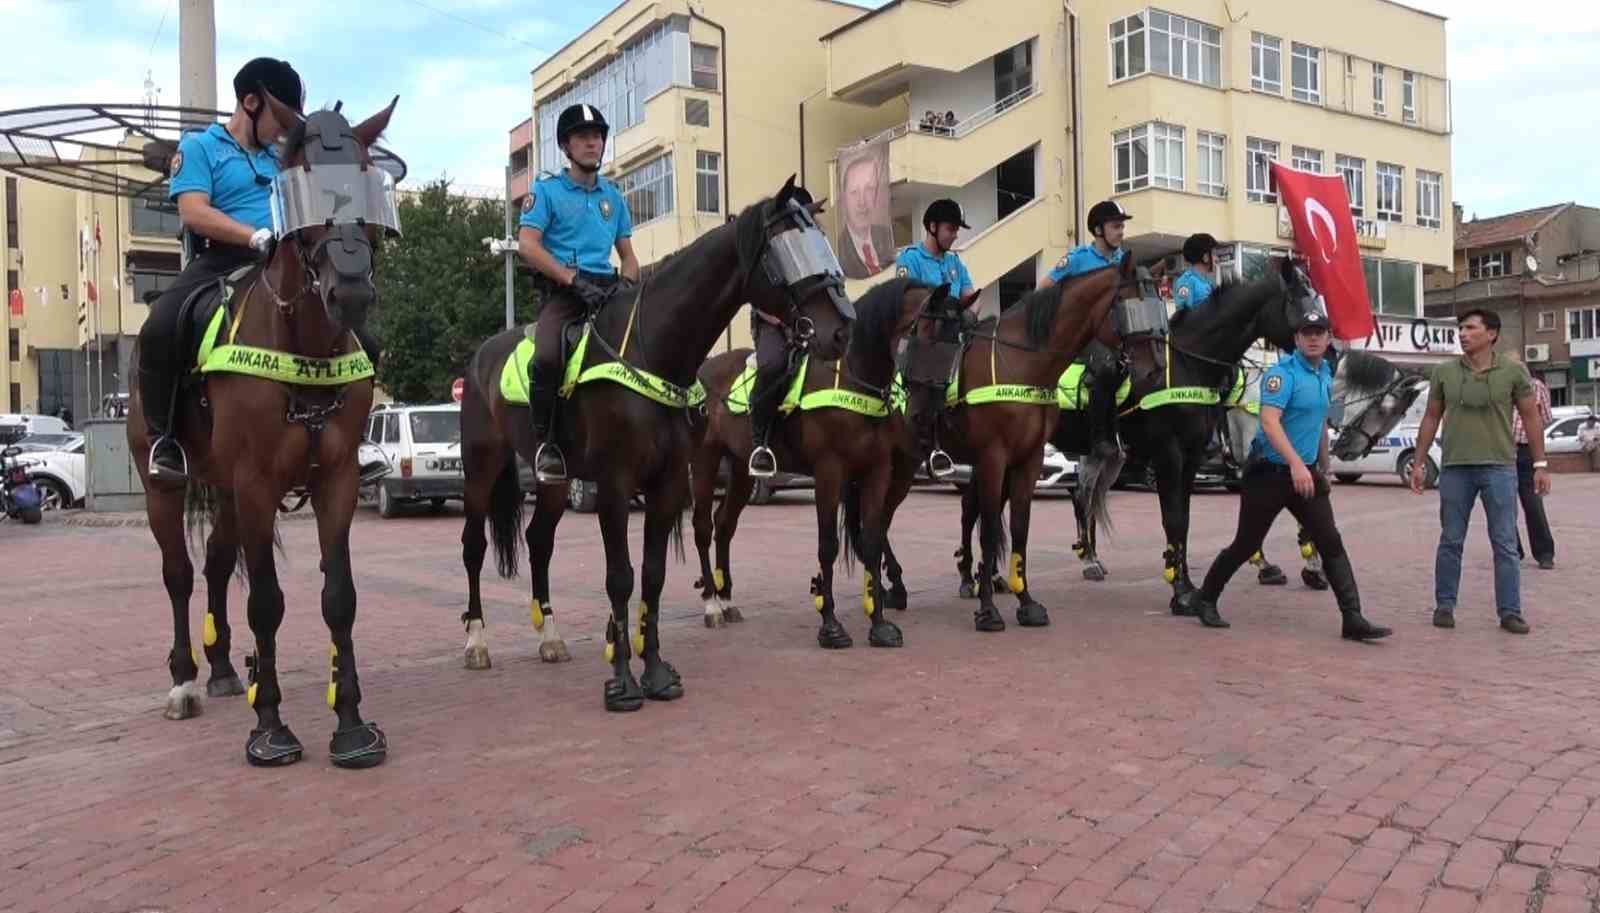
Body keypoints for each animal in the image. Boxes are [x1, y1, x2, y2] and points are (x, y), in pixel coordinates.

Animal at [132, 92, 406, 767]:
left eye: (368, 183)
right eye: (300, 182)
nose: (351, 292)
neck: (301, 346)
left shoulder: (334, 483)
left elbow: (340, 598)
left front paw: (350, 724)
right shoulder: (256, 484)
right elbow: (266, 601)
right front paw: (271, 727)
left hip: (228, 493)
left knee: (213, 564)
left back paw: (226, 669)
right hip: (165, 488)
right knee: (179, 574)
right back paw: (184, 682)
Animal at [457, 178, 857, 713]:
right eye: (788, 247)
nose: (843, 328)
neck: (654, 353)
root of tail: (481, 354)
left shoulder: (667, 485)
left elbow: (652, 575)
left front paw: (656, 672)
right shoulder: (615, 484)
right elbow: (620, 577)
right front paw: (622, 682)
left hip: (556, 481)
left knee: (539, 543)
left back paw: (551, 637)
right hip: (481, 468)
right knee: (474, 546)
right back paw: (477, 641)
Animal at [688, 276, 960, 649]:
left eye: (956, 348)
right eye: (926, 336)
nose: (926, 415)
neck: (854, 378)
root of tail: (704, 368)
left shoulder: (877, 471)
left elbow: (871, 541)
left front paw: (879, 625)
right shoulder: (830, 472)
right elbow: (829, 545)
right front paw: (831, 626)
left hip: (742, 469)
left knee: (724, 524)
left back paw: (727, 599)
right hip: (706, 460)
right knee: (703, 525)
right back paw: (712, 604)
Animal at [934, 254, 1152, 633]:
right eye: (1129, 308)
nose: (1152, 367)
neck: (1024, 365)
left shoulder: (1029, 458)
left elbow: (1022, 526)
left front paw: (1026, 602)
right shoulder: (997, 457)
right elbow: (998, 527)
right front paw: (988, 611)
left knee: (970, 509)